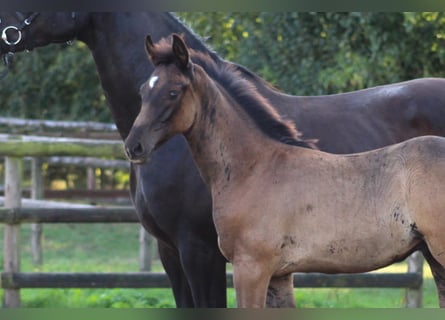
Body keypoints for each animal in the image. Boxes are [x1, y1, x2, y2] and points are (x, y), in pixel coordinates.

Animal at [0, 13, 444, 308]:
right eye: (143, 90)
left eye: (174, 92)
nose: (134, 146)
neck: (258, 167)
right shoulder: (277, 274)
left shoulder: (239, 265)